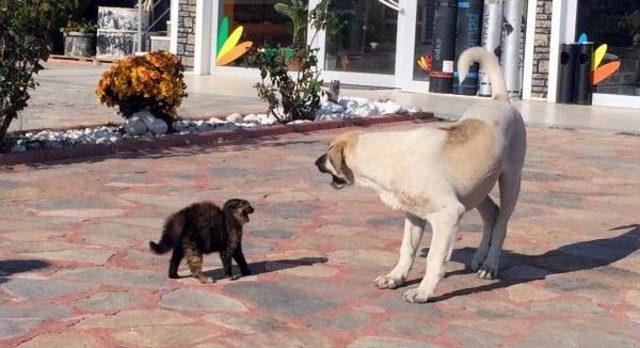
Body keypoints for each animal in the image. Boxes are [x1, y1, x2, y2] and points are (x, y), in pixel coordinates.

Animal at [316, 47, 524, 304]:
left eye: (327, 153)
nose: (315, 162)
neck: (388, 157)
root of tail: (499, 99)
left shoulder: (449, 215)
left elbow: (435, 258)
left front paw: (423, 292)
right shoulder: (414, 214)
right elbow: (407, 248)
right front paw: (395, 277)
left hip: (510, 180)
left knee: (502, 222)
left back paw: (490, 264)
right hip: (476, 187)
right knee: (491, 213)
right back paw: (479, 257)